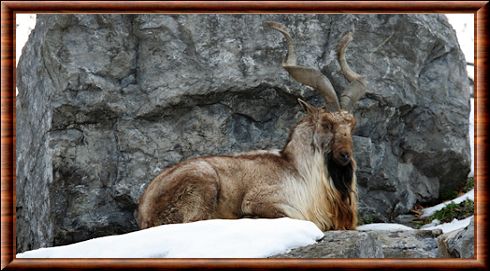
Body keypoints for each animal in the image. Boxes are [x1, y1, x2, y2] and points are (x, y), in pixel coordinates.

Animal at [136, 21, 366, 232]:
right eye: (327, 123)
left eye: (352, 125)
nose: (345, 156)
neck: (299, 171)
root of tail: (145, 210)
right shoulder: (262, 200)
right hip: (203, 179)